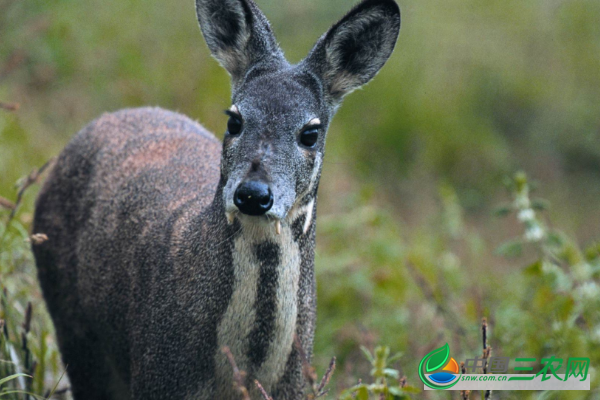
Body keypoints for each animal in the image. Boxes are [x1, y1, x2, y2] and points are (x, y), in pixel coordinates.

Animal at [31, 0, 398, 400]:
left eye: (310, 133)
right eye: (234, 120)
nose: (253, 194)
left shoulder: (297, 385)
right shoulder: (157, 373)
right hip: (73, 328)